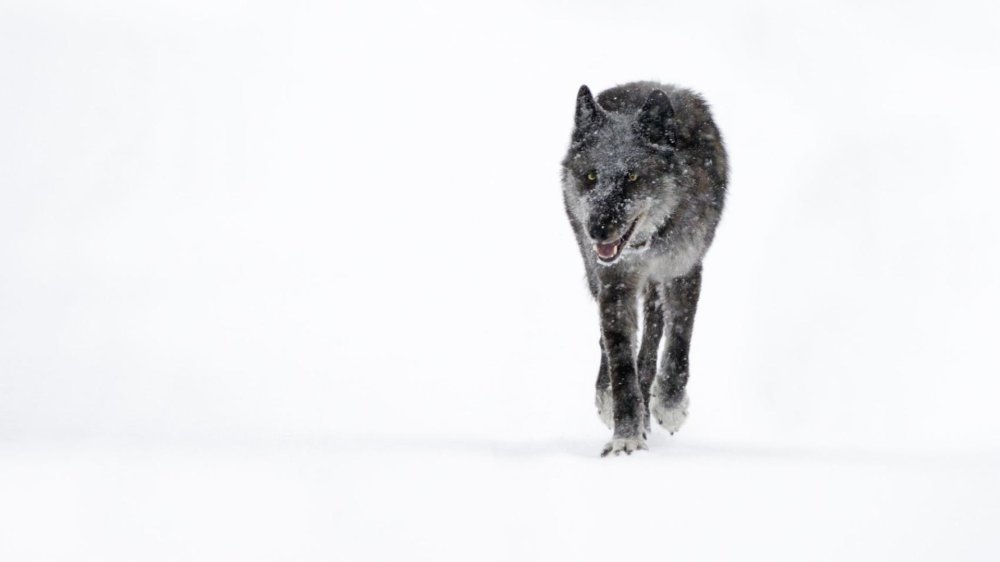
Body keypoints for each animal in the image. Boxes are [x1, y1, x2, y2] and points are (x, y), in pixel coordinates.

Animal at [561, 82, 728, 456]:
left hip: (656, 287)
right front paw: (626, 435)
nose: (597, 230)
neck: (648, 243)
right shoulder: (615, 283)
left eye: (633, 176)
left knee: (654, 338)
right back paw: (609, 398)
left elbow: (679, 341)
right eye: (591, 176)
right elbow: (621, 363)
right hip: (595, 275)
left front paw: (670, 405)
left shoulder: (683, 271)